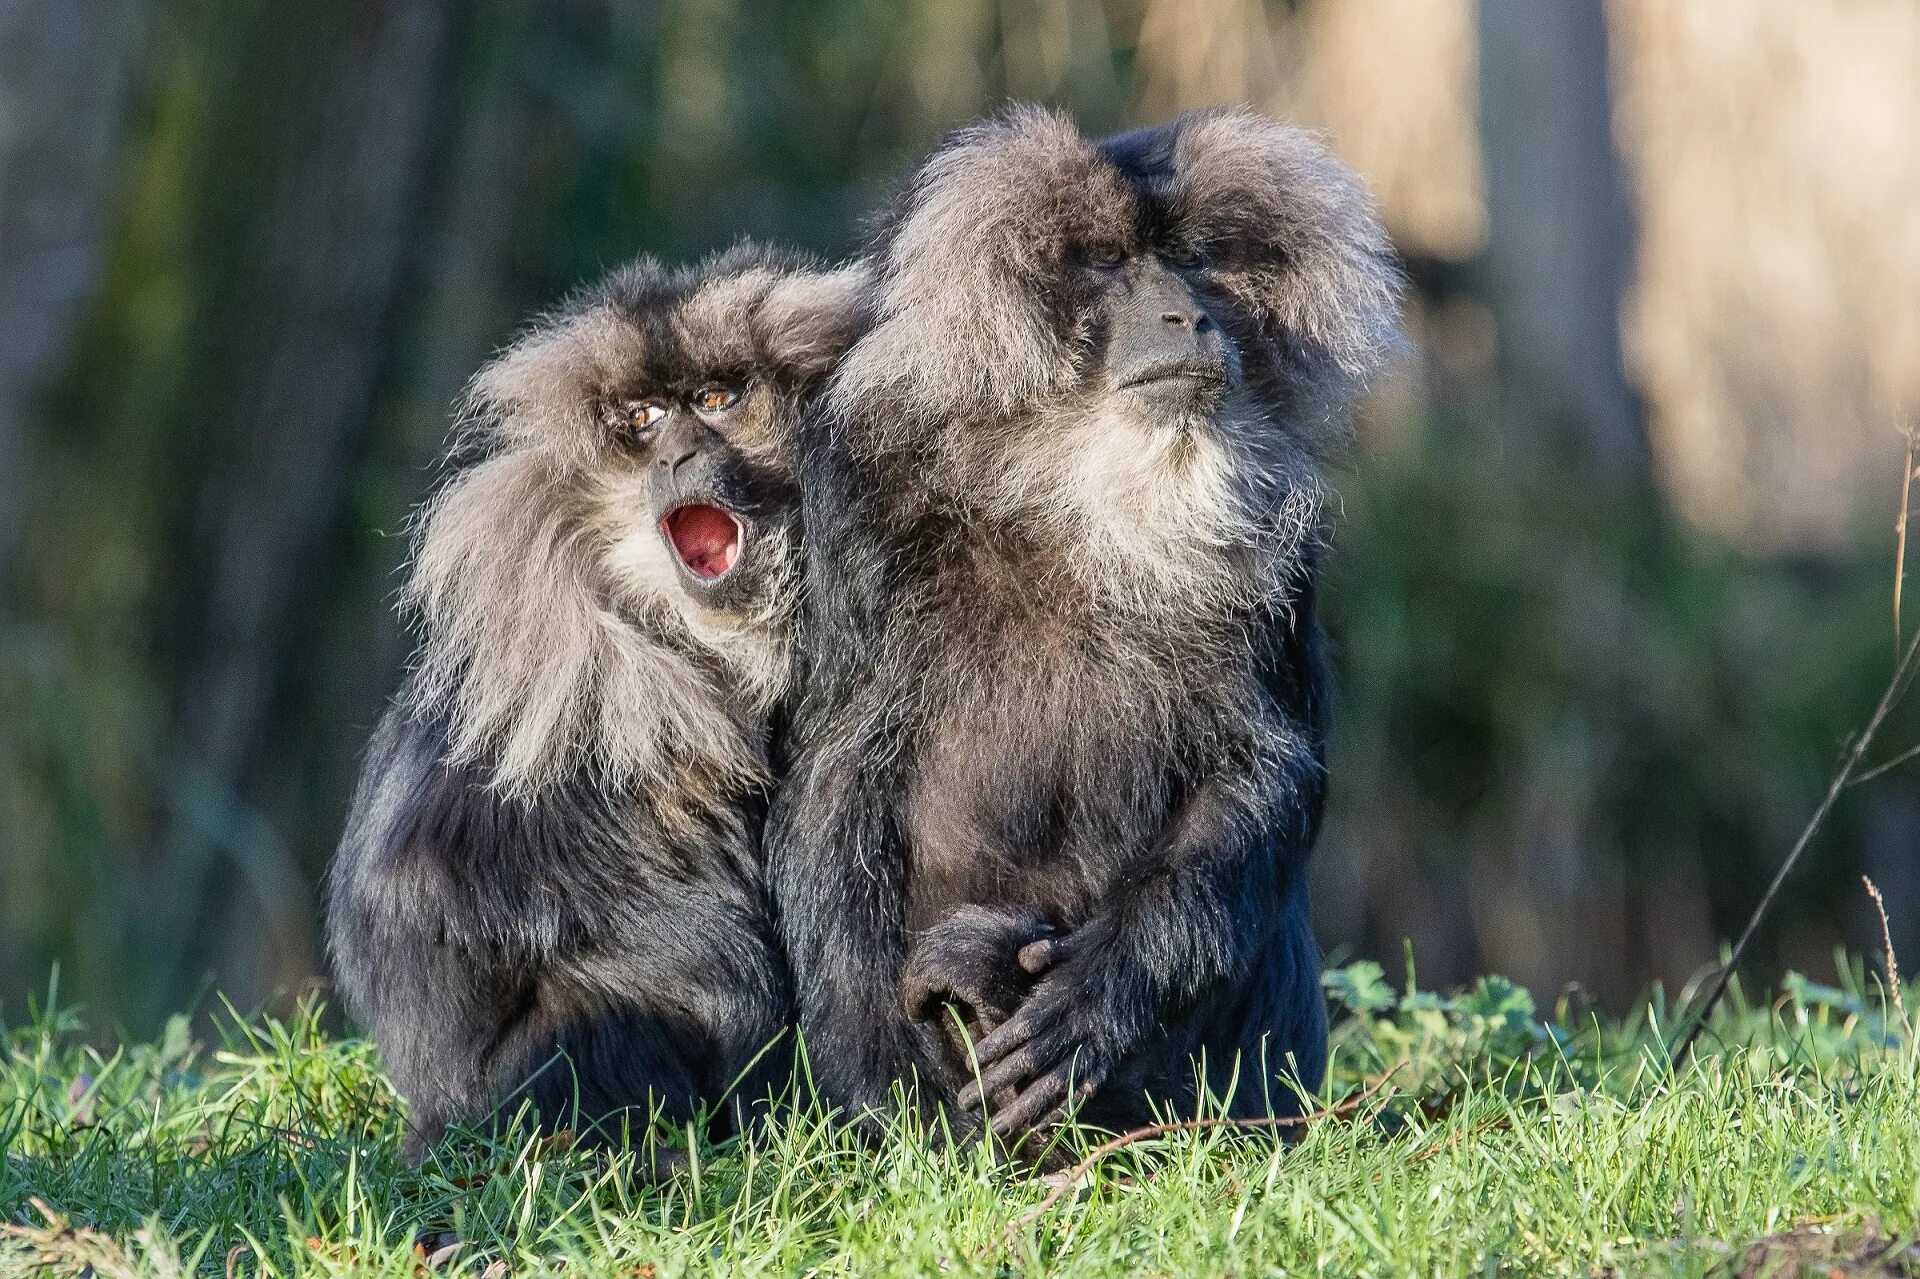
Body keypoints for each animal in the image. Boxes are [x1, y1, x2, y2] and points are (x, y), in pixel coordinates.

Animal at [771, 109, 1405, 1136]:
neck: (1076, 497)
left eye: (1191, 260)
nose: (1186, 316)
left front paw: (1103, 996)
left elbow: (1264, 771)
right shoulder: (858, 503)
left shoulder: (1281, 542)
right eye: (1107, 261)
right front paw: (884, 1085)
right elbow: (833, 781)